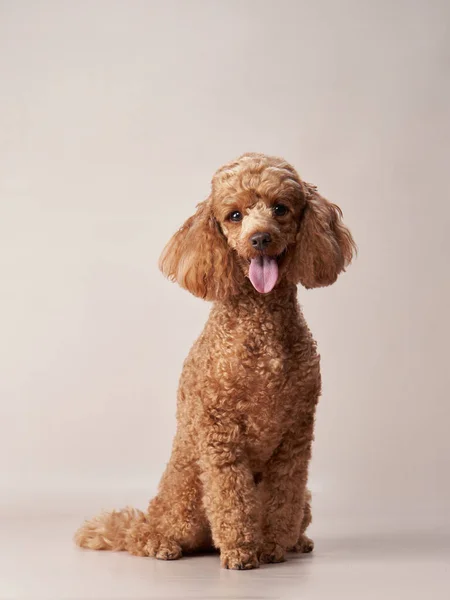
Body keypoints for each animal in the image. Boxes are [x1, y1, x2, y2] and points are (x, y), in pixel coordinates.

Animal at [74, 152, 356, 568]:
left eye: (280, 208)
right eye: (234, 215)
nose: (260, 238)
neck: (261, 323)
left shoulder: (296, 434)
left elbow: (282, 498)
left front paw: (273, 546)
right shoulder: (220, 430)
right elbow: (230, 496)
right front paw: (240, 551)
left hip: (303, 496)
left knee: (296, 511)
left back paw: (297, 542)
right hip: (187, 498)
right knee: (147, 533)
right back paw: (163, 544)